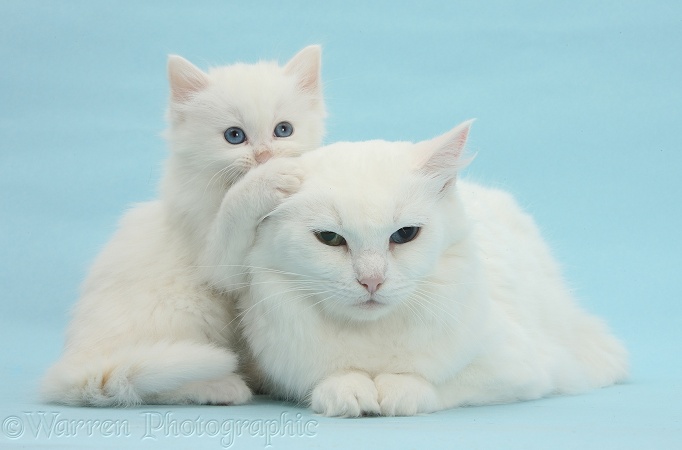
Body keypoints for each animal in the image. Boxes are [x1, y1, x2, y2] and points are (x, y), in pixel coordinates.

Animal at [41, 46, 324, 408]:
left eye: (283, 130)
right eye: (234, 136)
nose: (263, 156)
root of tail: (75, 363)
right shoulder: (214, 260)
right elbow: (233, 212)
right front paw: (267, 179)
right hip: (184, 310)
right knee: (152, 386)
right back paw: (222, 386)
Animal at [238, 119, 628, 414]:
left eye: (405, 234)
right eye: (331, 239)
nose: (372, 281)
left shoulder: (518, 368)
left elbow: (436, 382)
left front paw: (395, 391)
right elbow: (331, 378)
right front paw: (351, 391)